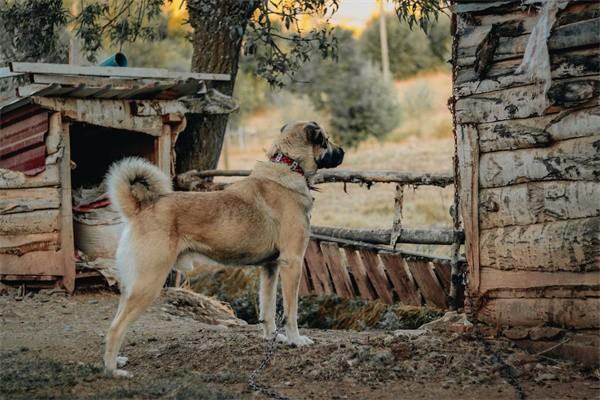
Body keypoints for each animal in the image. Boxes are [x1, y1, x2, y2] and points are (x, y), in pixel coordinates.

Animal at [104, 120, 342, 376]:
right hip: (147, 284)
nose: (343, 152)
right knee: (115, 329)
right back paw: (112, 371)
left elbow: (267, 309)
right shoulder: (292, 263)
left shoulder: (270, 268)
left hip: (134, 285)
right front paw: (295, 340)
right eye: (326, 140)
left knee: (114, 322)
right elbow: (291, 311)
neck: (289, 165)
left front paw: (271, 337)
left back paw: (116, 362)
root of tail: (141, 208)